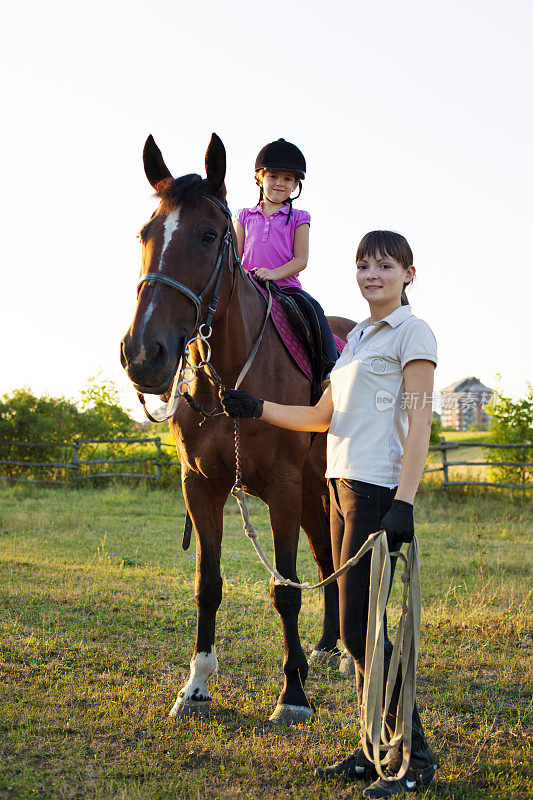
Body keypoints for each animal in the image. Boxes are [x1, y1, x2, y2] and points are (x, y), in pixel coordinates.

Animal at [120, 133, 354, 724]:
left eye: (209, 235)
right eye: (145, 234)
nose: (144, 354)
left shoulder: (282, 489)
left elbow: (285, 590)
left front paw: (292, 696)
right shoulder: (201, 486)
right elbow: (208, 584)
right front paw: (197, 685)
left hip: (331, 489)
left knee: (342, 560)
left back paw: (345, 656)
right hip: (312, 491)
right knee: (325, 556)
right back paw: (326, 647)